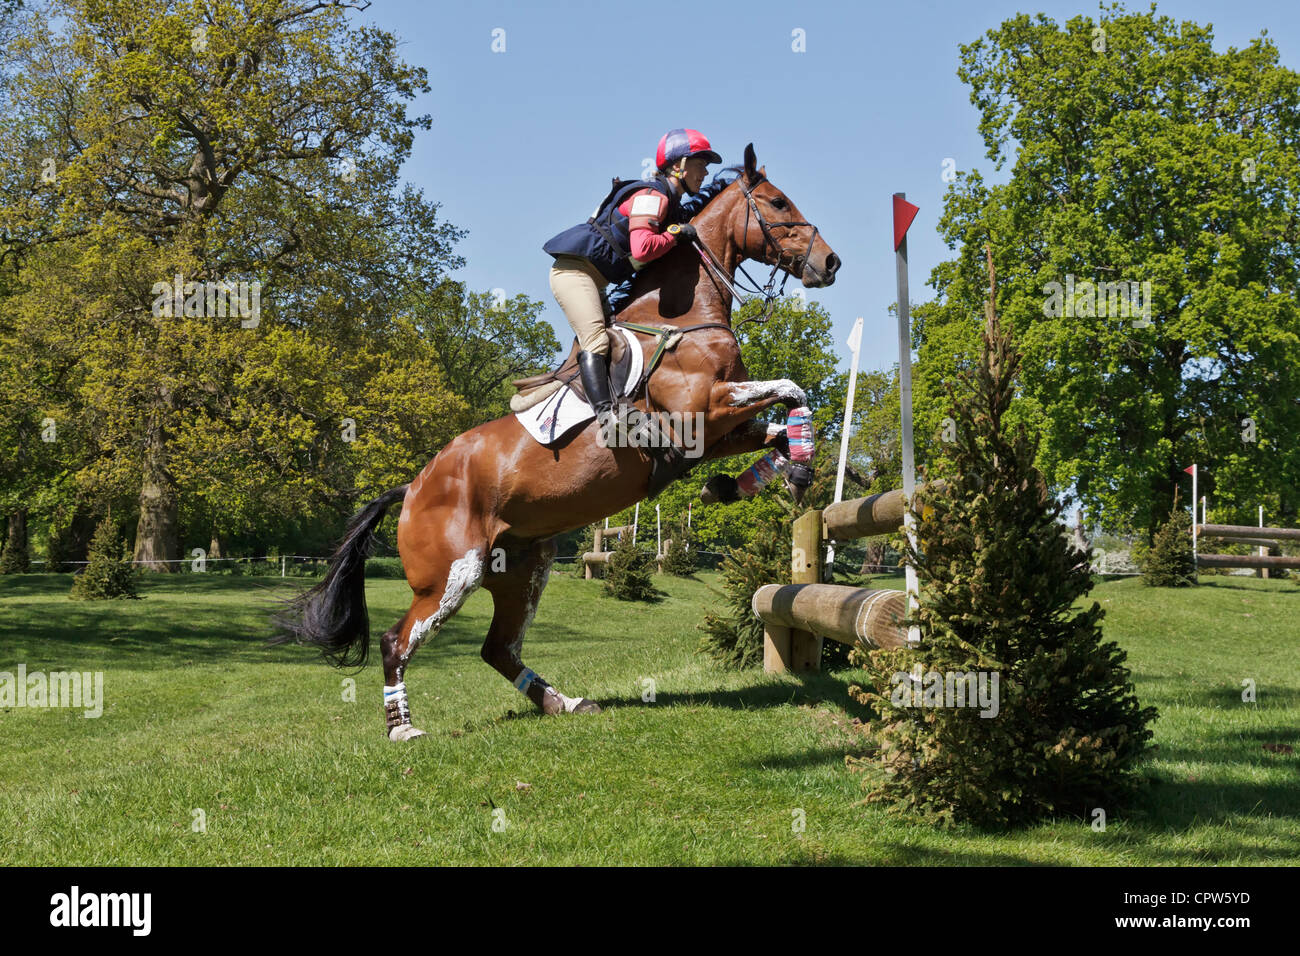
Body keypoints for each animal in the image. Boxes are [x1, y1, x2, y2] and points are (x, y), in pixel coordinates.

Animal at [273, 144, 840, 740]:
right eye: (777, 203)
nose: (830, 263)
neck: (686, 318)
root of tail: (412, 487)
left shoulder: (718, 431)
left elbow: (782, 426)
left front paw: (761, 479)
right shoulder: (701, 412)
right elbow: (793, 389)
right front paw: (779, 474)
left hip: (524, 565)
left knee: (498, 649)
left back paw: (562, 704)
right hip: (452, 574)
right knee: (397, 641)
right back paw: (403, 728)